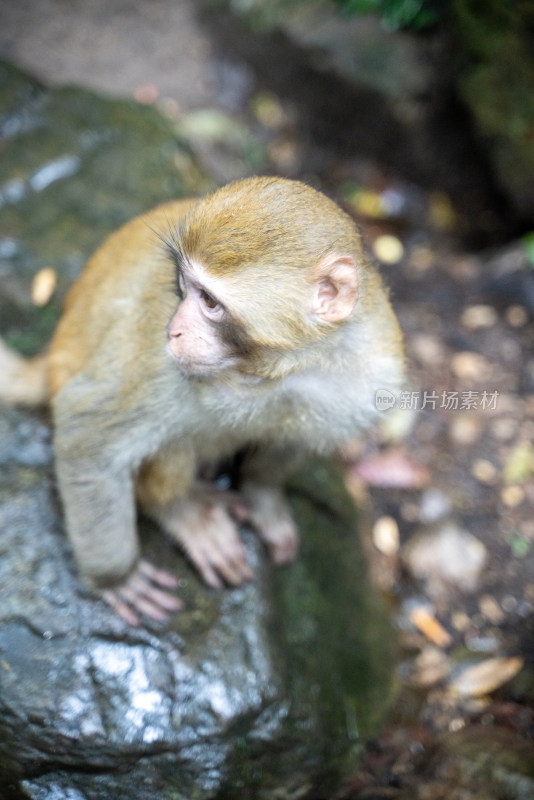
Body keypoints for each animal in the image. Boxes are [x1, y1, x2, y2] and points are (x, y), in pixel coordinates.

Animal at [0, 177, 404, 624]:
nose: (173, 331)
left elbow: (291, 441)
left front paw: (262, 498)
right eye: (182, 285)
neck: (274, 369)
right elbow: (87, 430)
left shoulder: (363, 377)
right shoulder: (159, 363)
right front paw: (117, 578)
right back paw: (184, 510)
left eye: (209, 301)